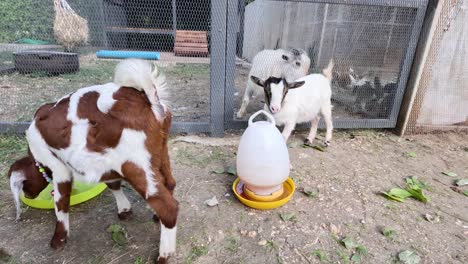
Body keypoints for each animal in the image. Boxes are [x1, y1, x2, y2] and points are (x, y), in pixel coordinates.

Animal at [7, 58, 179, 262]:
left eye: (24, 185)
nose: (28, 196)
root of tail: (147, 99)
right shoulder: (105, 162)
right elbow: (113, 184)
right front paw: (124, 210)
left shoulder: (59, 168)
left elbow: (61, 202)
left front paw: (59, 239)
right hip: (160, 151)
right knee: (170, 183)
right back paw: (157, 219)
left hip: (135, 163)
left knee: (167, 206)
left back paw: (164, 254)